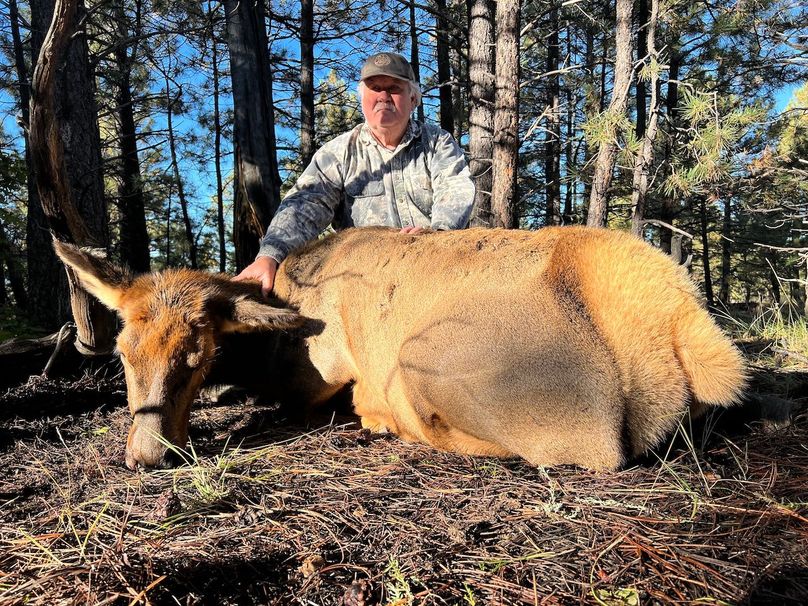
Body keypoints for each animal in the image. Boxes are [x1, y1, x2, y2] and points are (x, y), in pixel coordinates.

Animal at [54, 226, 746, 471]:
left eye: (196, 355)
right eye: (123, 353)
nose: (146, 454)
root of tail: (676, 314)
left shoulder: (320, 370)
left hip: (445, 365)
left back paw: (386, 419)